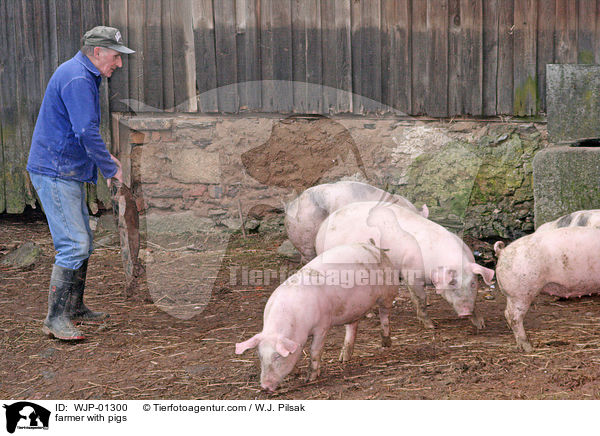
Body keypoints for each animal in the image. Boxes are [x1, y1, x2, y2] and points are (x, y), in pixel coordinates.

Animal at [236, 242, 398, 392]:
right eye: (260, 356)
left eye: (277, 356)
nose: (264, 387)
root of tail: (374, 247)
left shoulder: (322, 326)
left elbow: (315, 351)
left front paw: (310, 379)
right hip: (353, 308)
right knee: (352, 326)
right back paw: (343, 358)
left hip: (387, 292)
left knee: (385, 315)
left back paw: (386, 343)